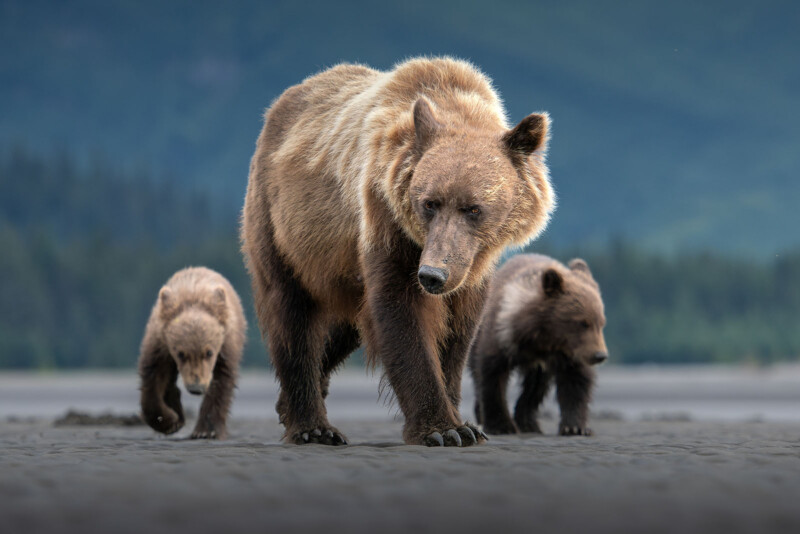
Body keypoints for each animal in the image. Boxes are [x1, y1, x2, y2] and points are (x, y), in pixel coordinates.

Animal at [138, 266, 246, 439]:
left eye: (209, 352)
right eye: (181, 353)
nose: (196, 388)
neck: (194, 300)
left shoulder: (227, 345)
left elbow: (221, 381)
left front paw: (206, 430)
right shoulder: (160, 342)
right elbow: (154, 377)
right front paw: (169, 421)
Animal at [241, 57, 555, 446]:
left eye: (473, 208)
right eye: (429, 203)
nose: (433, 276)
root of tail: (279, 106)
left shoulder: (471, 264)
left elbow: (458, 329)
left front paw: (462, 419)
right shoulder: (387, 219)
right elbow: (402, 312)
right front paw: (444, 429)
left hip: (341, 270)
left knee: (347, 325)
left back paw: (293, 400)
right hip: (282, 226)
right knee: (291, 312)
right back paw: (313, 426)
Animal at [468, 253, 608, 436]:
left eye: (601, 322)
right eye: (582, 323)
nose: (600, 355)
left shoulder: (572, 353)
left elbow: (576, 382)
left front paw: (575, 427)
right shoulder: (500, 336)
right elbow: (492, 376)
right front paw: (501, 425)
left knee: (535, 388)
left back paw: (529, 423)